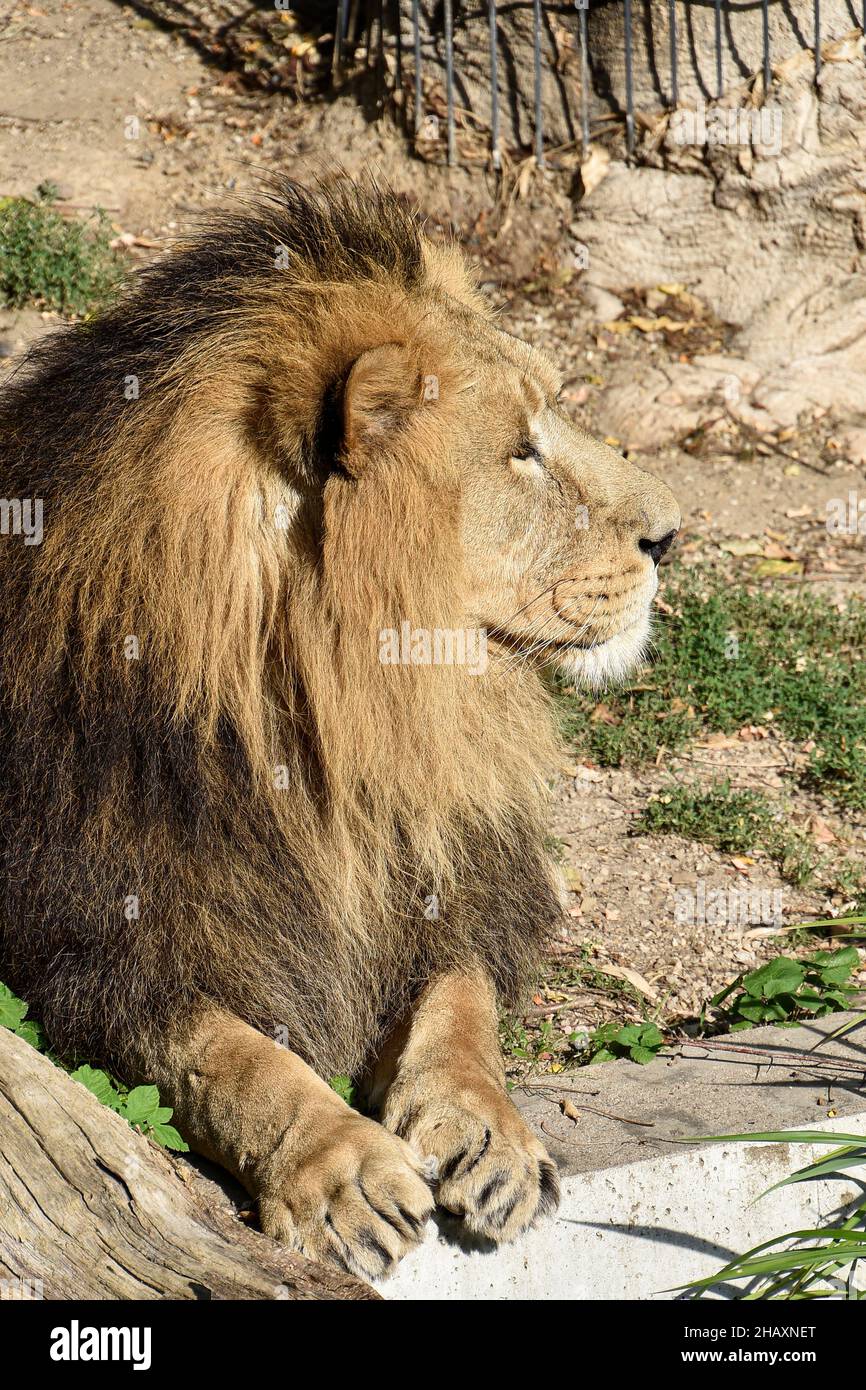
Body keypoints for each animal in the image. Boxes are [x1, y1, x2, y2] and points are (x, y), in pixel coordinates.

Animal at [0, 182, 678, 1278]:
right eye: (518, 451)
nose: (672, 535)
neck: (330, 723)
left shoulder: (442, 869)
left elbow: (460, 1005)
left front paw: (488, 1132)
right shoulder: (85, 938)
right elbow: (232, 1057)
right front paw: (340, 1167)